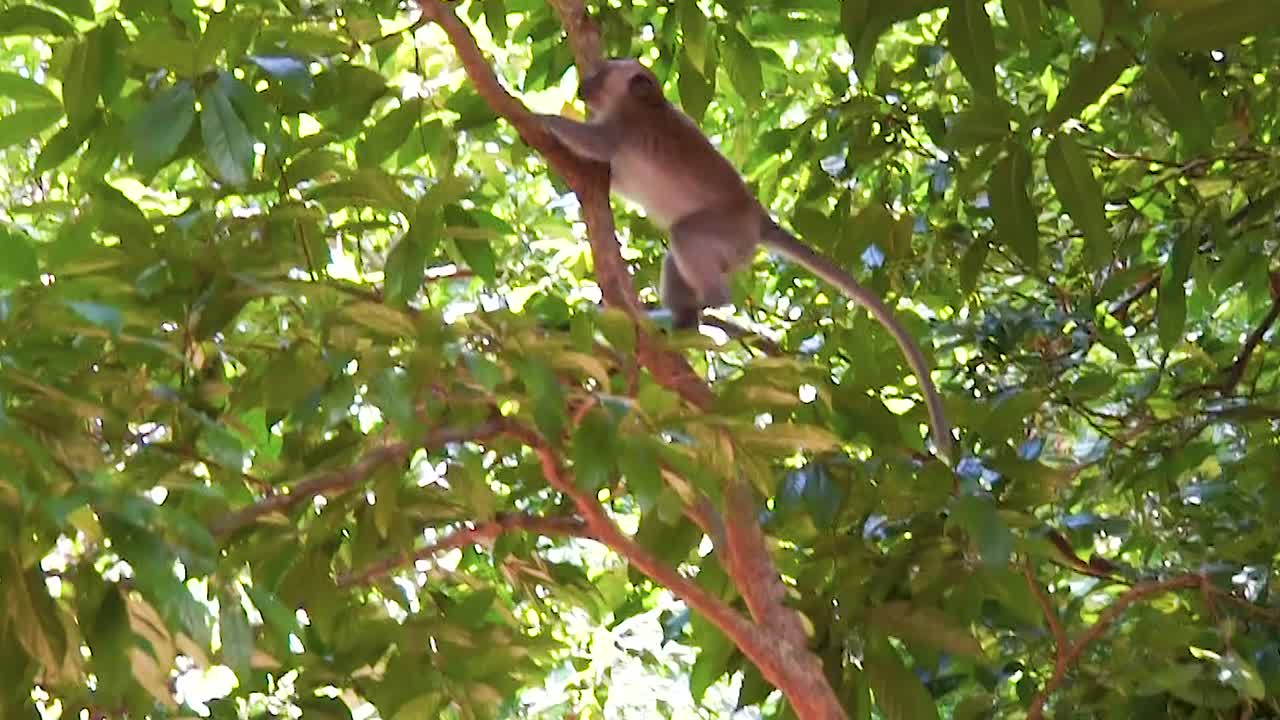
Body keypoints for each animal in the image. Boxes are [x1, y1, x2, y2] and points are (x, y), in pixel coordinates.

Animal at [537, 59, 954, 458]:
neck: (643, 104)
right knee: (677, 257)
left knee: (684, 235)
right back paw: (681, 323)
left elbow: (594, 144)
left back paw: (710, 302)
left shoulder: (625, 128)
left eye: (604, 72)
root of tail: (759, 220)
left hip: (727, 230)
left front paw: (537, 117)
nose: (584, 85)